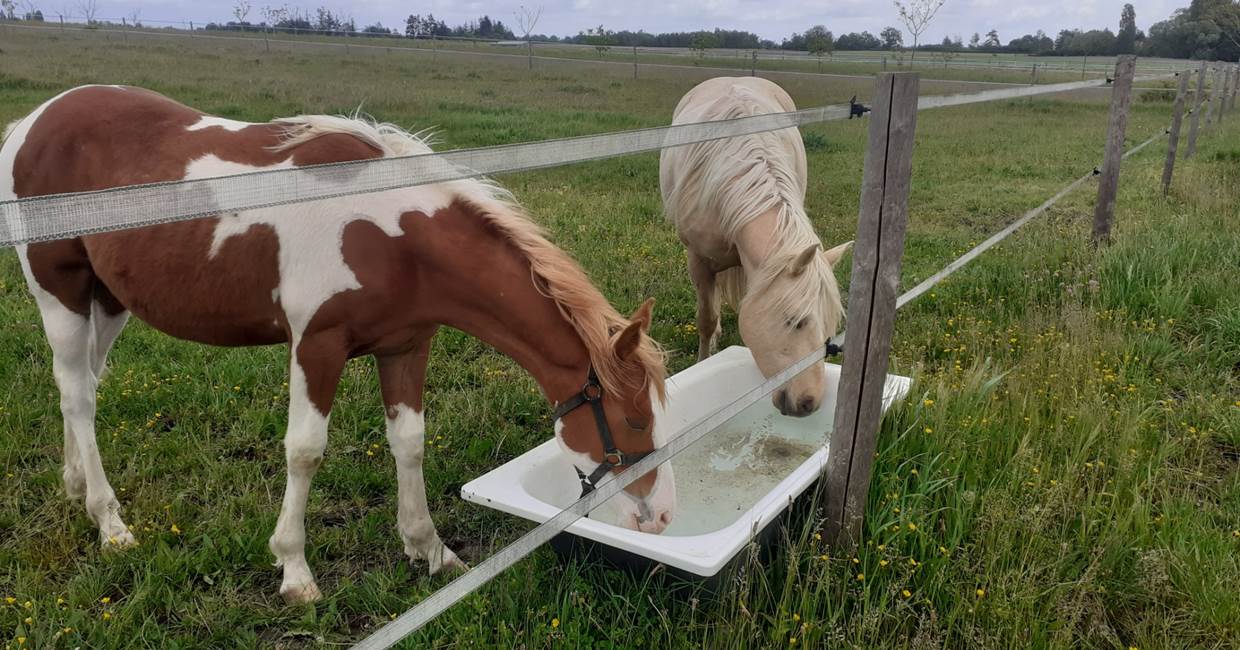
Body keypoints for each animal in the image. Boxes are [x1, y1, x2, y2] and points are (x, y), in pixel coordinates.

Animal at [0, 85, 676, 603]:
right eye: (636, 422)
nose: (664, 516)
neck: (391, 234)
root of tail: (32, 123)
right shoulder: (315, 346)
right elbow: (305, 452)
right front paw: (295, 570)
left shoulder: (406, 346)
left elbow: (409, 443)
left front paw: (430, 549)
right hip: (59, 292)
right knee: (78, 395)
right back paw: (109, 521)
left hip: (108, 300)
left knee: (81, 390)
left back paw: (76, 488)